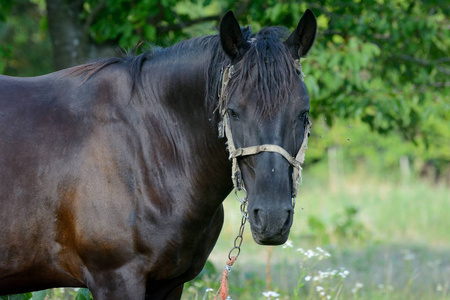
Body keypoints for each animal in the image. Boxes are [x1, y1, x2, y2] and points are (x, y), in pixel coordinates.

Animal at [0, 9, 316, 300]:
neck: (146, 146)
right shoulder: (116, 279)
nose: (273, 218)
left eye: (303, 113)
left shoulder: (169, 283)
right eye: (234, 112)